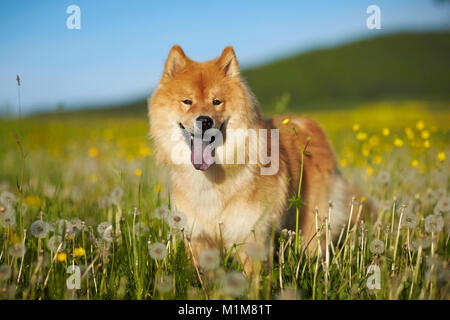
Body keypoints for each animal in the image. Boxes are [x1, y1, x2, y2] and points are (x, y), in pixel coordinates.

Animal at [149, 46, 368, 274]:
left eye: (216, 102)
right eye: (187, 101)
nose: (205, 120)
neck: (211, 178)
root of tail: (314, 127)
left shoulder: (250, 233)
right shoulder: (199, 236)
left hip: (312, 222)